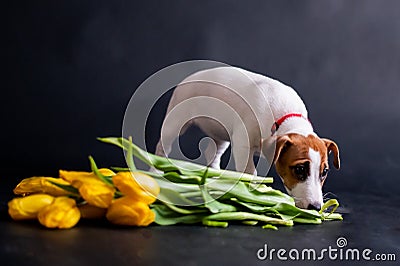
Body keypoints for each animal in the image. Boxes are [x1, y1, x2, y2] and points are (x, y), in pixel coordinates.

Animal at [155, 66, 340, 210]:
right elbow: (250, 171)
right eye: (300, 169)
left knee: (212, 153)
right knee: (162, 147)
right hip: (175, 121)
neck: (287, 118)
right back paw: (156, 172)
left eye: (324, 172)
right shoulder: (242, 144)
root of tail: (189, 78)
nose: (316, 207)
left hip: (221, 135)